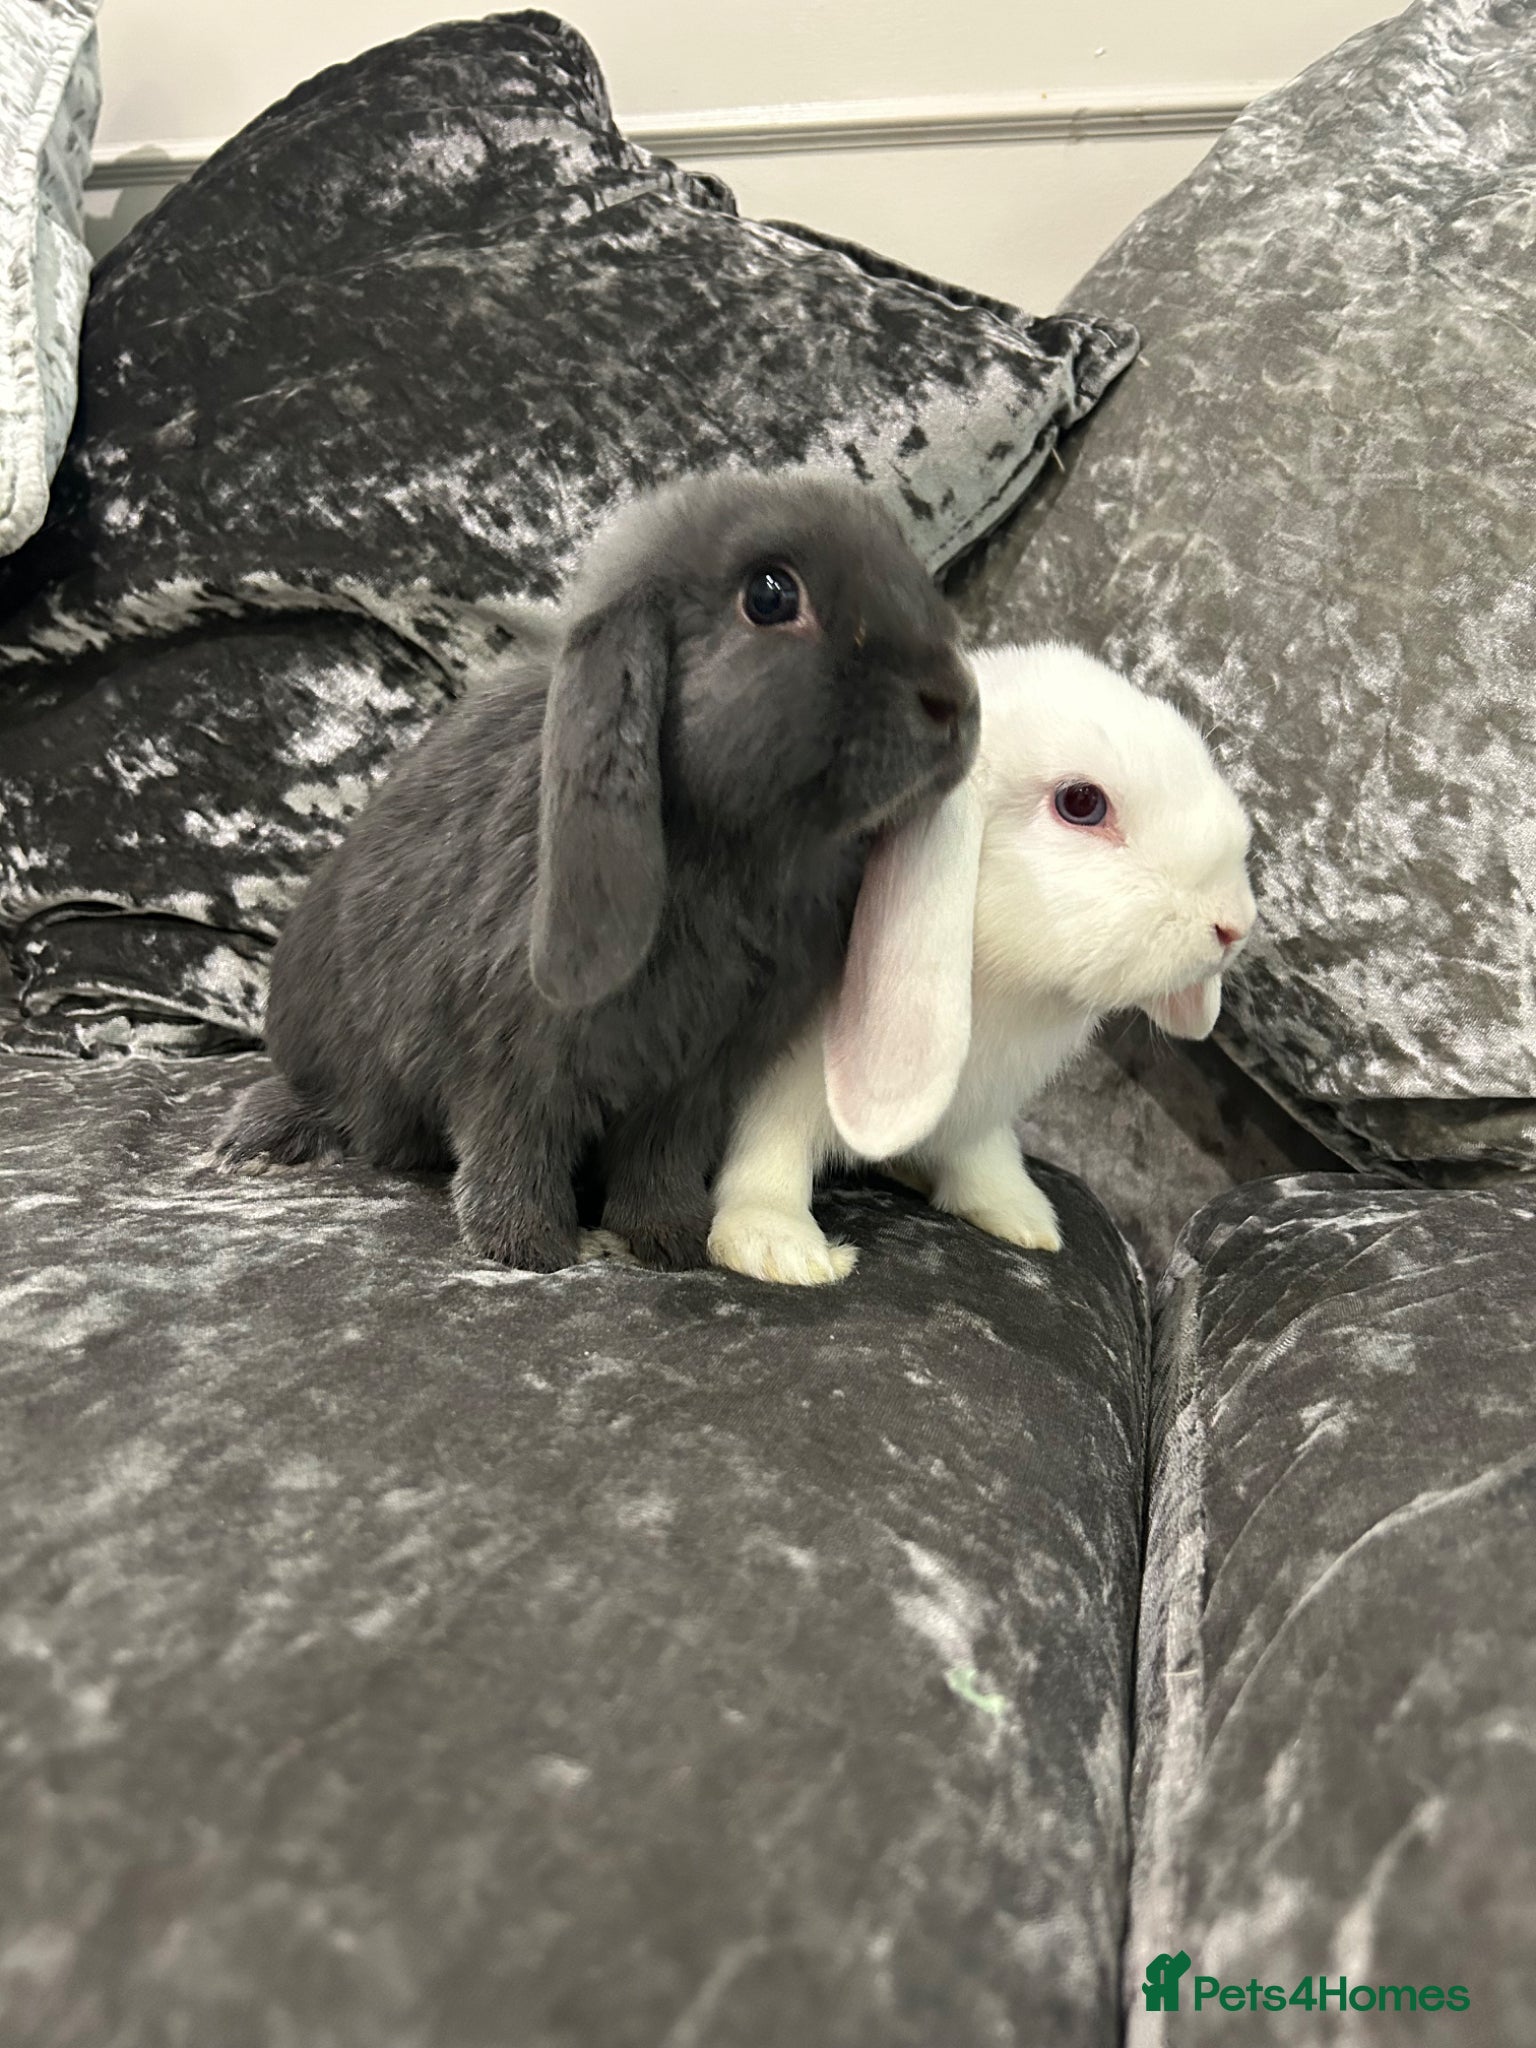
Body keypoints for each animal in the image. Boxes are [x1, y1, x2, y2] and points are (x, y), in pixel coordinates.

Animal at [215, 469, 979, 1272]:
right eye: (770, 596)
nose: (953, 699)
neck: (736, 856)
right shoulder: (511, 1057)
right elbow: (514, 1145)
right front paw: (527, 1246)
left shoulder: (696, 1079)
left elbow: (659, 1160)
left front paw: (672, 1240)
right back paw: (260, 1141)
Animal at [707, 641, 1256, 1285]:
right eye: (1081, 803)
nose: (1233, 925)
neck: (1006, 1001)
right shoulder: (774, 1088)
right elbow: (768, 1151)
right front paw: (777, 1247)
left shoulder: (980, 1114)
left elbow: (983, 1158)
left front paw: (1019, 1216)